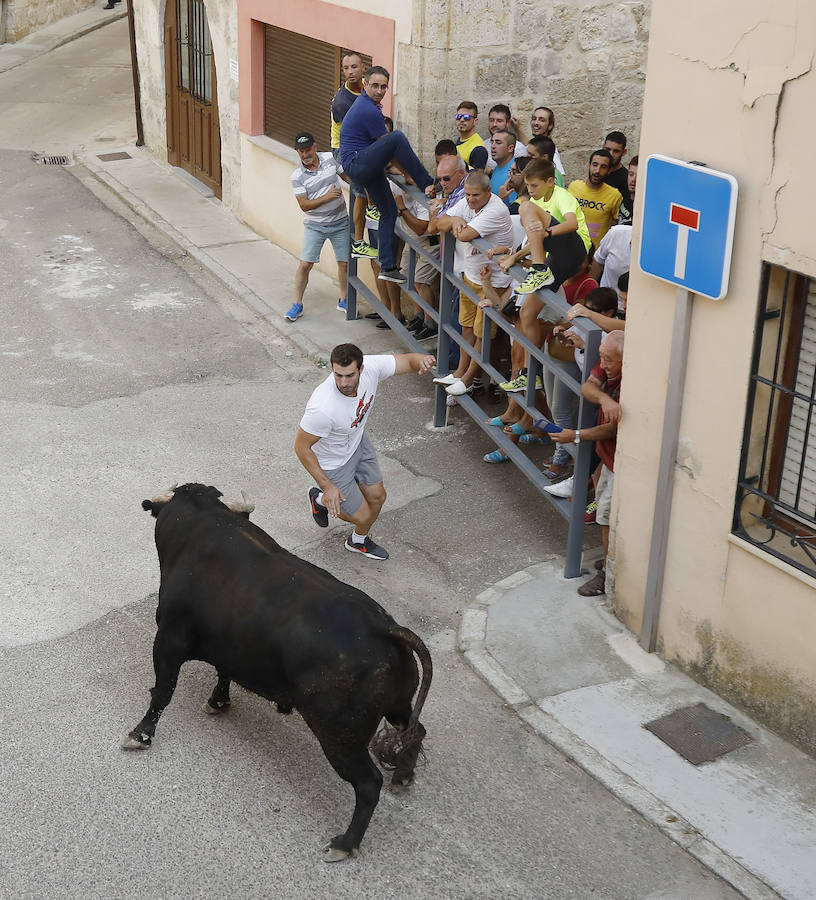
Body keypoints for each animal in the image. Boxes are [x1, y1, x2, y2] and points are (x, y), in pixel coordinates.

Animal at [122, 482, 434, 860]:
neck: (204, 520)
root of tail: (385, 627)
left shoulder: (168, 640)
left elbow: (162, 691)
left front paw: (141, 734)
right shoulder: (232, 645)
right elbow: (223, 672)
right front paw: (218, 702)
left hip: (339, 736)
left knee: (368, 784)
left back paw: (345, 843)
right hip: (398, 707)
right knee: (416, 731)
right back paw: (403, 777)